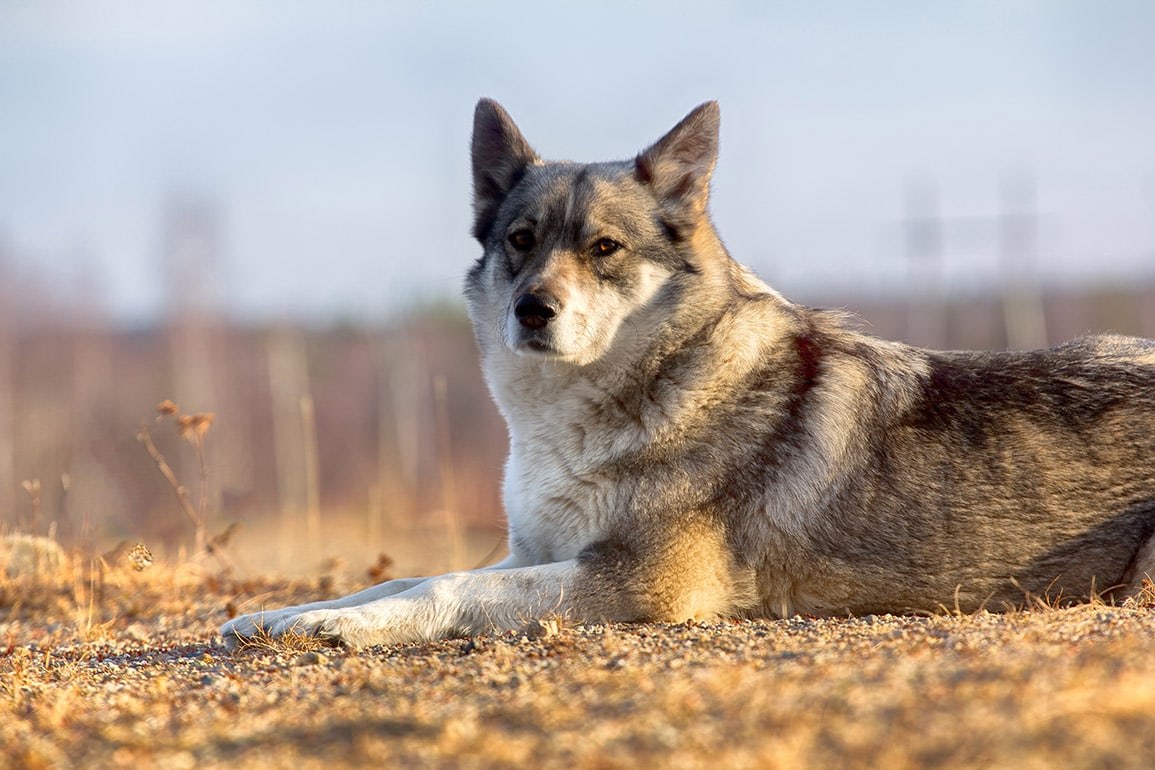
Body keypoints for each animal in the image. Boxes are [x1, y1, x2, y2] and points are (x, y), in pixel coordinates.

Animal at [218, 99, 1155, 646]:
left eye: (603, 249)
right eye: (520, 241)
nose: (532, 310)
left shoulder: (638, 580)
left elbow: (442, 586)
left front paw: (346, 628)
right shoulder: (535, 549)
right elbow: (406, 573)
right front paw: (283, 615)